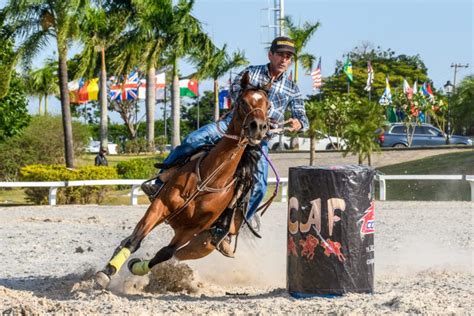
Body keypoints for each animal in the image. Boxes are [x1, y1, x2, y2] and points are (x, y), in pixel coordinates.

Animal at [95, 72, 270, 288]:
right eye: (243, 101)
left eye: (268, 105)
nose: (259, 127)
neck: (209, 181)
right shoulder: (159, 206)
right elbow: (134, 240)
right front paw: (107, 272)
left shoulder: (192, 230)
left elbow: (165, 253)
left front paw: (135, 267)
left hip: (202, 244)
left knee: (176, 255)